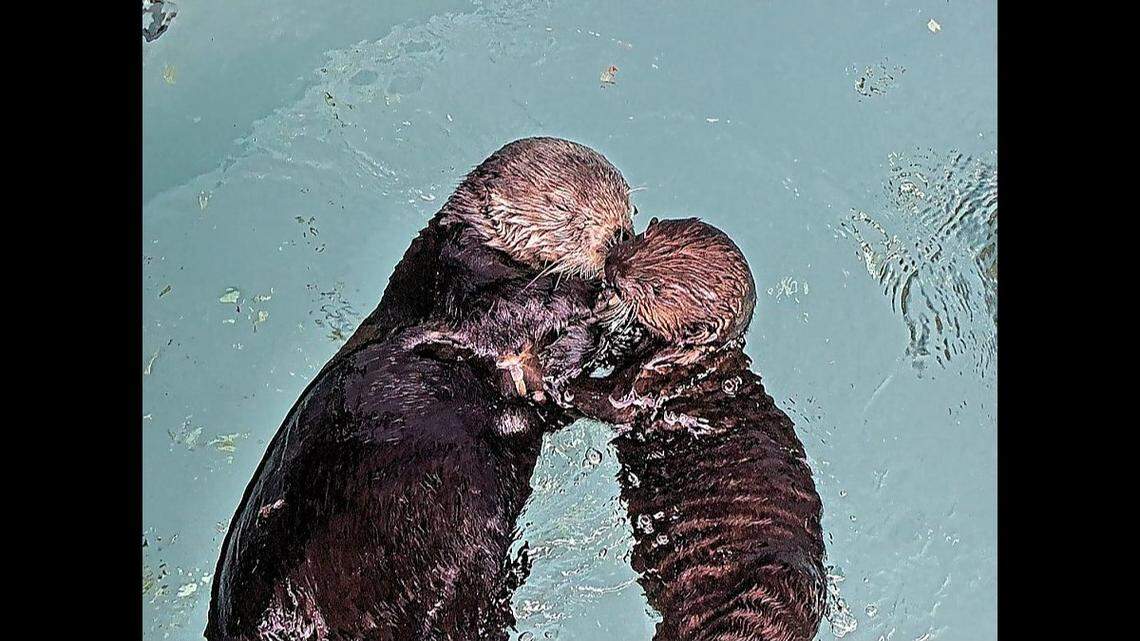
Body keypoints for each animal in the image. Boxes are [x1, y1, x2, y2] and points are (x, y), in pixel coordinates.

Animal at [206, 138, 634, 641]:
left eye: (628, 206)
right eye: (562, 207)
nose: (619, 237)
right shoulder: (450, 271)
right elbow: (497, 310)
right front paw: (587, 297)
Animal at [566, 218, 828, 641]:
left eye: (658, 289)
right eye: (641, 239)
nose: (612, 267)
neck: (698, 365)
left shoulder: (654, 384)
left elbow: (612, 403)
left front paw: (552, 377)